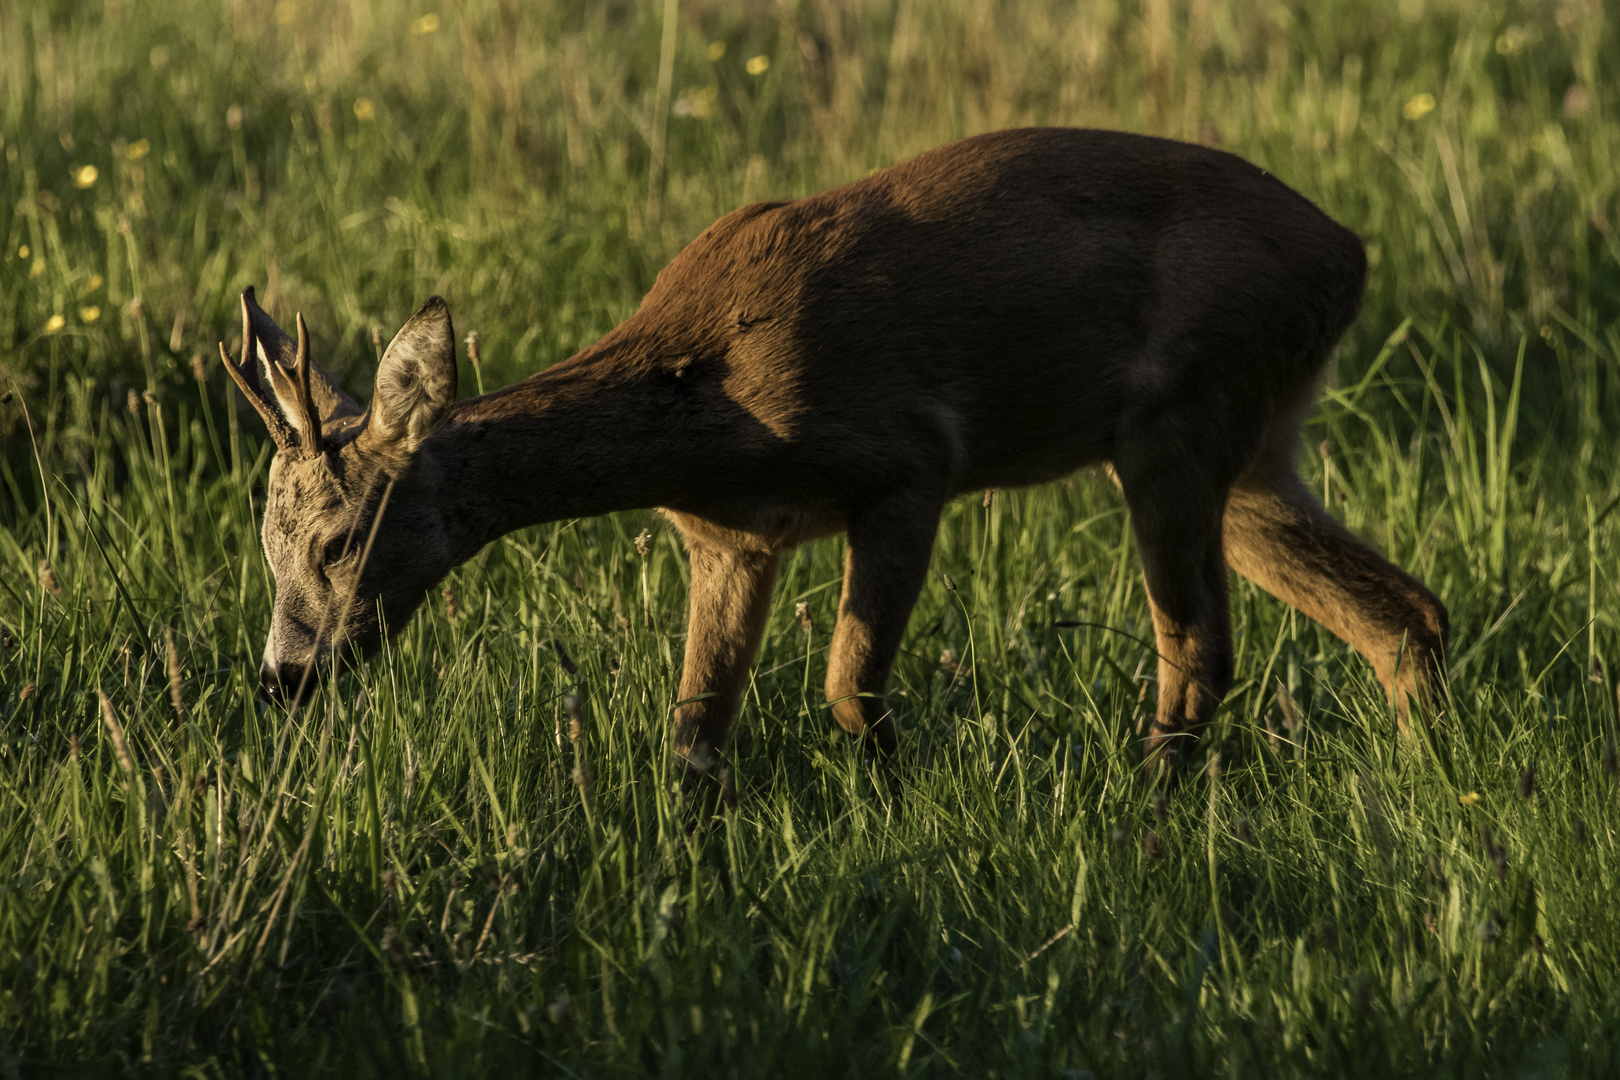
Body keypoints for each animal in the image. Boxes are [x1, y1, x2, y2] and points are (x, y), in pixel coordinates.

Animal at [221, 128, 1451, 777]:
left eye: (339, 539)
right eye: (263, 545)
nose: (285, 674)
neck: (705, 398)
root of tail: (1349, 255)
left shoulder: (909, 465)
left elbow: (849, 688)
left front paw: (909, 805)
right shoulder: (729, 540)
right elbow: (694, 729)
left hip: (1179, 426)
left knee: (1199, 647)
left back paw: (1148, 811)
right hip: (1253, 446)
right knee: (1403, 611)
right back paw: (1431, 776)